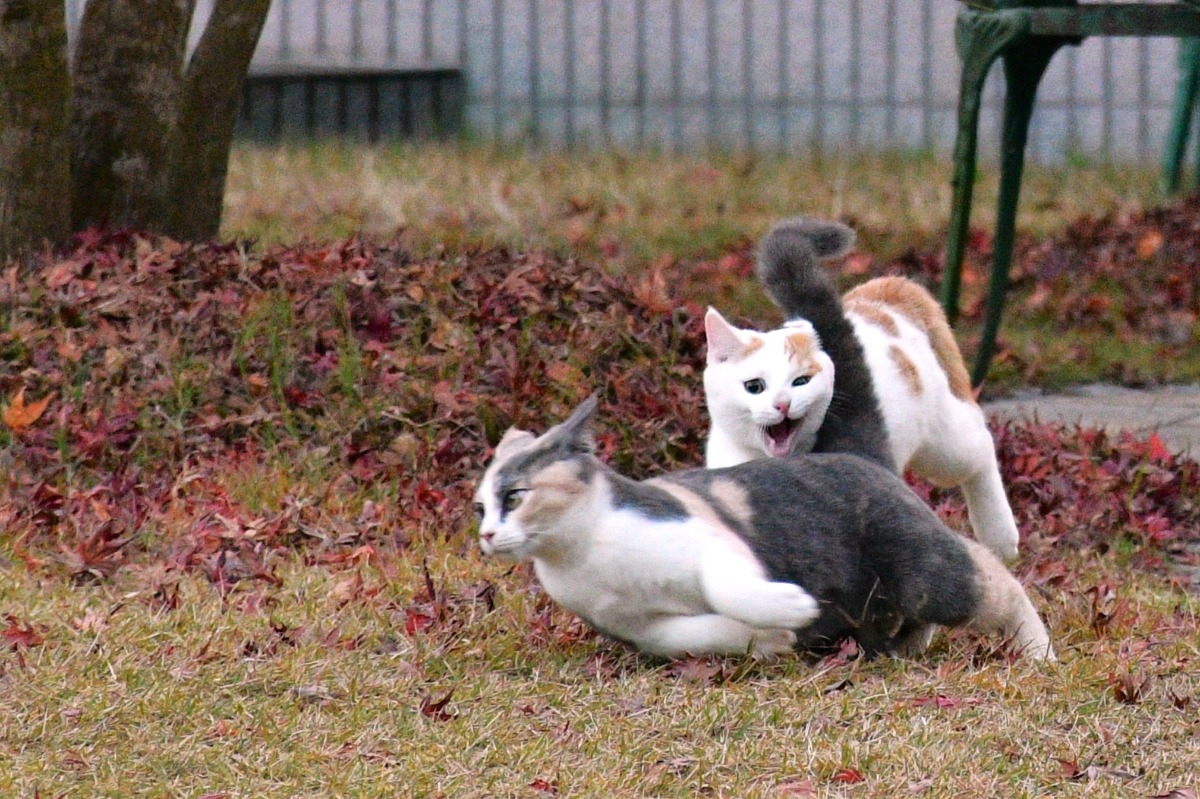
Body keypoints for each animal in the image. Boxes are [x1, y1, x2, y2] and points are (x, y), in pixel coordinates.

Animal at [472, 391, 1056, 657]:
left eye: (515, 496)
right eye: (480, 507)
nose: (486, 536)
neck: (584, 554)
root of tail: (860, 454)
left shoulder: (711, 541)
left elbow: (725, 587)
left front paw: (790, 607)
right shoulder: (642, 628)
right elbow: (699, 634)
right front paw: (774, 637)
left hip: (920, 567)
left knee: (992, 578)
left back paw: (1038, 653)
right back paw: (900, 649)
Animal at [700, 214, 1022, 556]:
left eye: (801, 381)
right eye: (754, 386)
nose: (783, 404)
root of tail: (891, 288)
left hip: (943, 445)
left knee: (980, 444)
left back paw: (1000, 535)